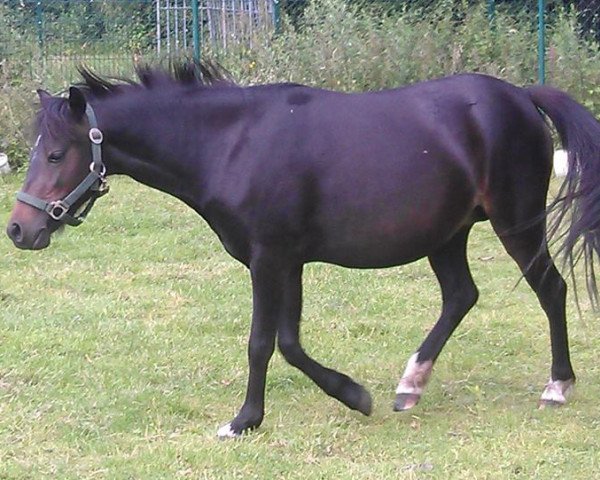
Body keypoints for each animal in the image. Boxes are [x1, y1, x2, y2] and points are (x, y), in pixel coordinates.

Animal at [4, 62, 600, 436]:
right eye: (36, 153)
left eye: (55, 154)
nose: (18, 229)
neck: (233, 142)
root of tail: (521, 96)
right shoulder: (286, 263)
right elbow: (288, 342)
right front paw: (350, 395)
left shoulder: (269, 259)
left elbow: (263, 344)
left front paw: (247, 420)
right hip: (447, 233)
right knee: (460, 296)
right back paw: (411, 384)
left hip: (515, 223)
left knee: (550, 289)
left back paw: (557, 386)